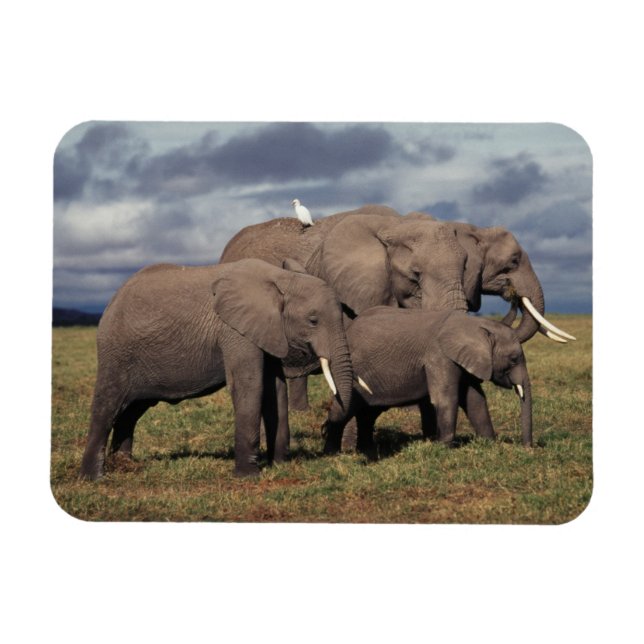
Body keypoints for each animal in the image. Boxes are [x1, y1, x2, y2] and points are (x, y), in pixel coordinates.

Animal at [79, 258, 353, 480]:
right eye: (313, 320)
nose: (325, 431)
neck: (280, 278)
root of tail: (111, 300)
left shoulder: (268, 331)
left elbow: (275, 390)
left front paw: (280, 465)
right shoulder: (233, 330)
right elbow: (249, 385)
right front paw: (248, 476)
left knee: (130, 411)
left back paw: (124, 465)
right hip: (116, 351)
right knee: (108, 405)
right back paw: (93, 478)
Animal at [322, 307, 533, 456]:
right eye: (514, 359)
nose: (528, 448)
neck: (474, 324)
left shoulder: (460, 360)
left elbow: (475, 400)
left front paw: (489, 443)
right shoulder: (439, 356)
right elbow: (446, 399)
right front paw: (444, 447)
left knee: (368, 414)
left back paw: (367, 450)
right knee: (343, 410)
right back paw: (332, 453)